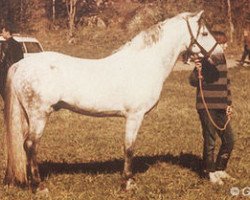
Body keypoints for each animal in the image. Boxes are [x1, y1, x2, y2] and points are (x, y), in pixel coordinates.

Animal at [3, 10, 223, 191]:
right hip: (39, 115)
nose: (220, 56)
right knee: (30, 145)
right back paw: (39, 186)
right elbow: (129, 147)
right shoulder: (134, 116)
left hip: (27, 116)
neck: (144, 64)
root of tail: (21, 64)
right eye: (205, 33)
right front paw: (128, 183)